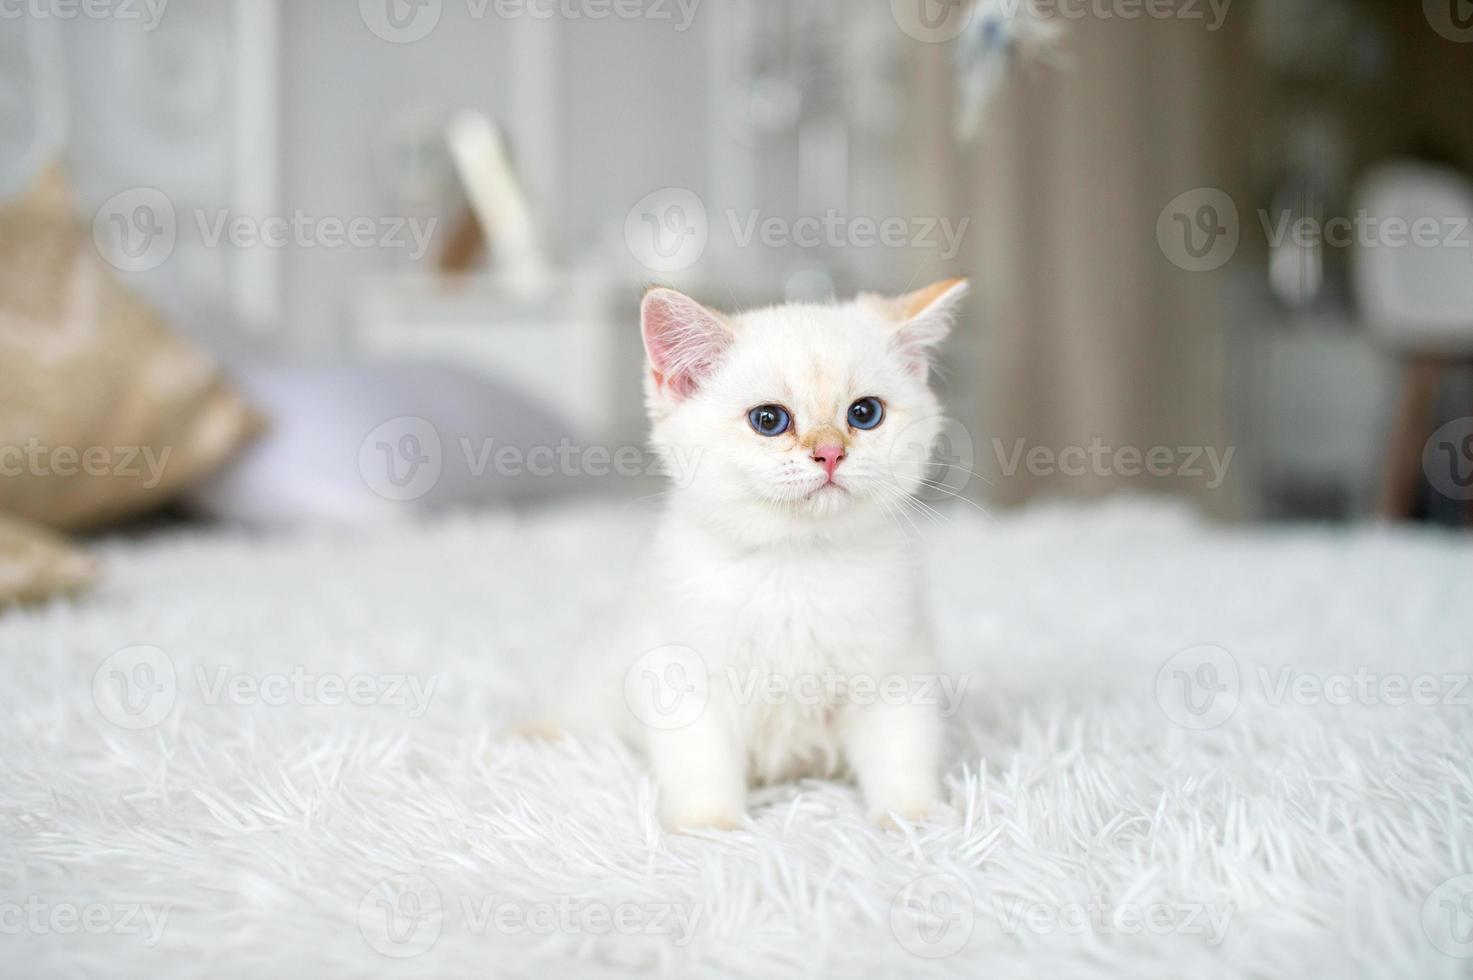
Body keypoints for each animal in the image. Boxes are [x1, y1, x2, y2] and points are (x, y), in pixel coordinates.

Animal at [547, 277, 972, 831]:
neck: (796, 563)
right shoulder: (683, 673)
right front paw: (710, 829)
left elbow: (901, 752)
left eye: (865, 414)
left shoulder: (896, 669)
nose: (830, 452)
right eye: (769, 420)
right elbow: (701, 761)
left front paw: (913, 821)